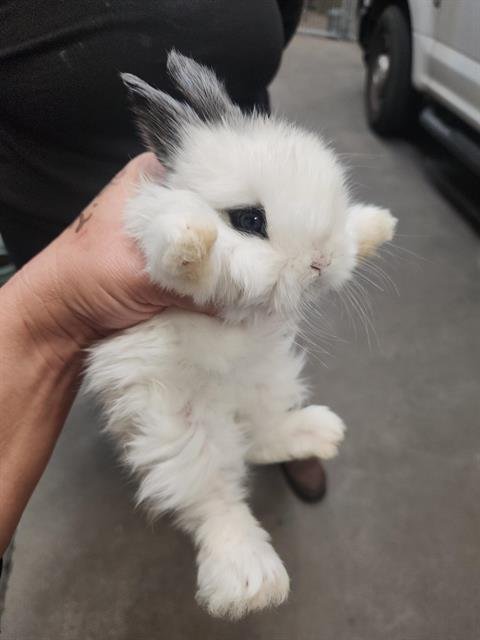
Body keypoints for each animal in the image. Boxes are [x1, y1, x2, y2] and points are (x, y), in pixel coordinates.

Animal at [84, 50, 397, 619]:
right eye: (250, 219)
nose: (320, 262)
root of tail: (226, 405)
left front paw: (377, 225)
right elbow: (185, 257)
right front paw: (192, 237)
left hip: (270, 380)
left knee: (263, 437)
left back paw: (321, 432)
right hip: (180, 427)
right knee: (214, 500)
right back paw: (251, 580)